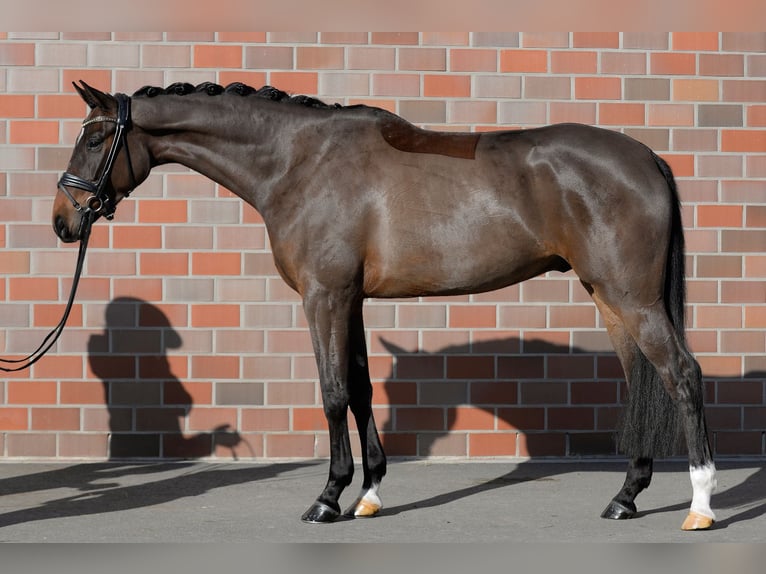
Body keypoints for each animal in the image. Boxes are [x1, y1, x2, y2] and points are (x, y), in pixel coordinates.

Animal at [54, 81, 720, 532]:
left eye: (95, 137)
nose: (64, 222)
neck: (298, 162)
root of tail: (646, 158)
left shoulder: (324, 297)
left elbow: (331, 394)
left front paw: (327, 499)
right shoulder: (349, 300)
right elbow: (360, 388)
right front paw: (368, 494)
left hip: (632, 298)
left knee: (682, 375)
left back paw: (701, 504)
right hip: (608, 298)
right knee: (642, 380)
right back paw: (625, 497)